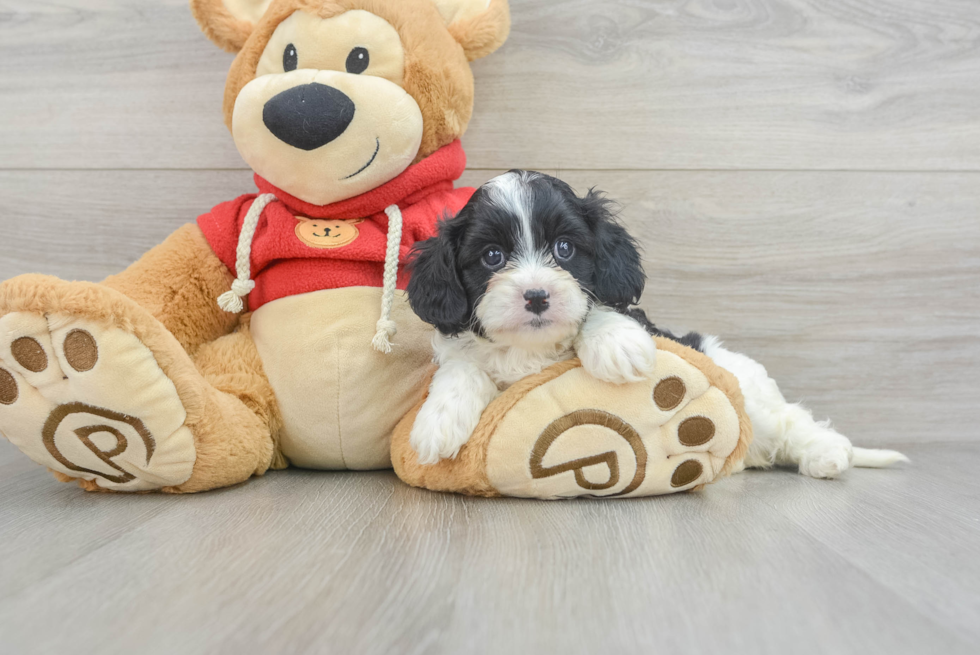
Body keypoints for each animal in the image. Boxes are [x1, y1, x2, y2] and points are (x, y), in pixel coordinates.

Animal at [402, 169, 908, 476]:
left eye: (564, 249)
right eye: (492, 256)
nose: (537, 296)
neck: (532, 351)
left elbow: (604, 309)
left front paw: (614, 345)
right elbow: (463, 369)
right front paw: (438, 422)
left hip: (754, 395)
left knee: (792, 422)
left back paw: (828, 453)